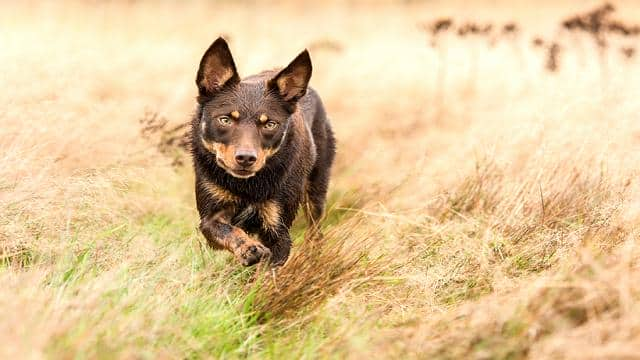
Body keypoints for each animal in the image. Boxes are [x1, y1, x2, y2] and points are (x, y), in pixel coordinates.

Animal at [190, 38, 336, 266]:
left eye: (270, 124)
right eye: (225, 119)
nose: (246, 158)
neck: (248, 186)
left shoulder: (279, 231)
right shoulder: (210, 217)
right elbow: (229, 231)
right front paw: (249, 248)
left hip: (316, 189)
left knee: (315, 229)